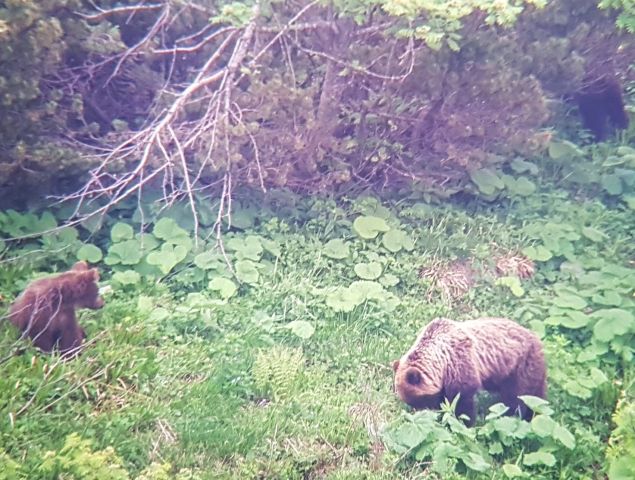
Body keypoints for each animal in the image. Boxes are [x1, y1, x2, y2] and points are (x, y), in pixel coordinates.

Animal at [392, 318, 548, 424]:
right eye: (411, 402)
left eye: (419, 400)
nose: (423, 413)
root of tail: (538, 339)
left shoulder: (461, 363)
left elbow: (462, 401)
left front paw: (463, 422)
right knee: (536, 399)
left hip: (519, 367)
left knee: (517, 398)